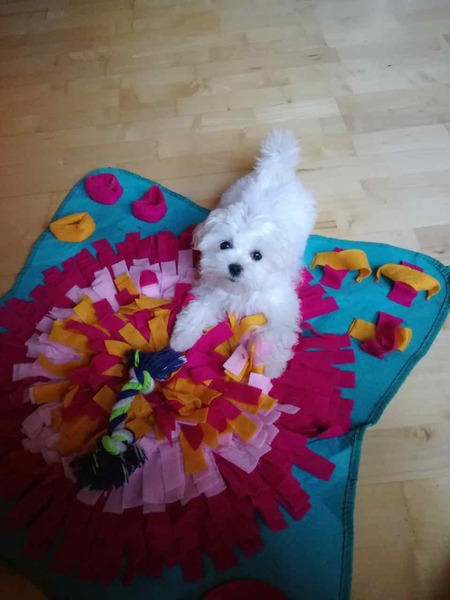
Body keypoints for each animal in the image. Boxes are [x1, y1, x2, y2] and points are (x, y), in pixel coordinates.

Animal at [170, 129, 316, 379]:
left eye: (257, 255)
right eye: (224, 245)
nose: (235, 267)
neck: (242, 290)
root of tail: (275, 166)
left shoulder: (280, 304)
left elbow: (273, 334)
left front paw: (269, 367)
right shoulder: (214, 290)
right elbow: (198, 309)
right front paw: (181, 338)